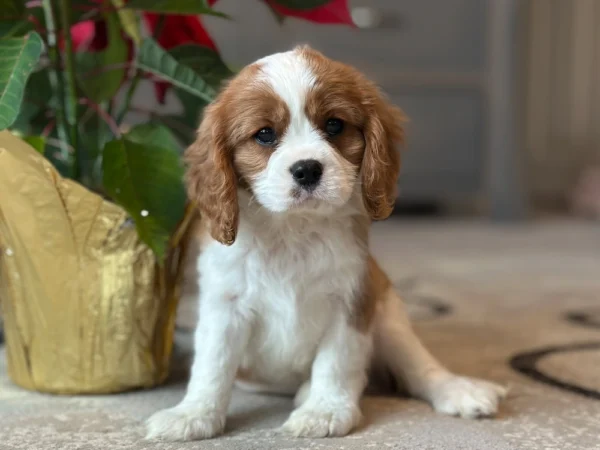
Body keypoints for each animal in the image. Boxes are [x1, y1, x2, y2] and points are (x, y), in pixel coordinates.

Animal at [146, 45, 506, 440]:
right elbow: (212, 365)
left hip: (390, 315)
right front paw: (193, 414)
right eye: (265, 134)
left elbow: (337, 361)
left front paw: (325, 410)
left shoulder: (352, 299)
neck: (294, 229)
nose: (307, 169)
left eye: (334, 125)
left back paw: (457, 390)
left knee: (417, 367)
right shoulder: (224, 306)